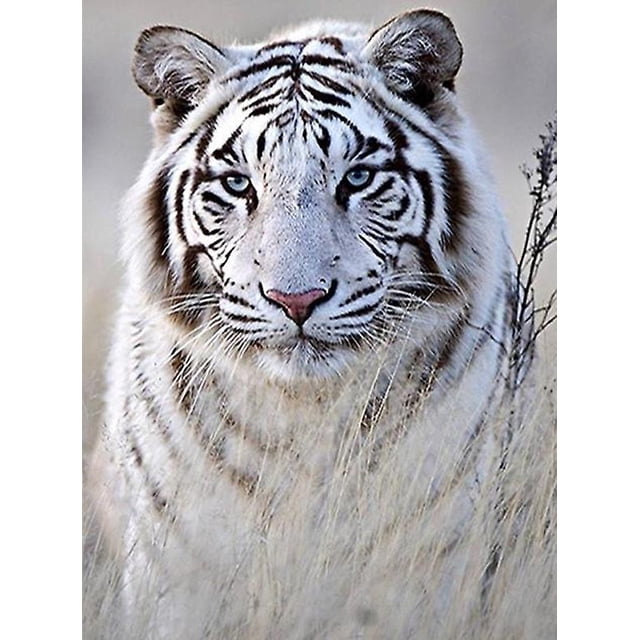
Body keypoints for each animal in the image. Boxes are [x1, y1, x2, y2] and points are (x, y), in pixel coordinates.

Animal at [87, 8, 522, 638]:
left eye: (358, 179)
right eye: (238, 184)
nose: (297, 299)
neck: (305, 417)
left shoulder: (431, 560)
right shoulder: (180, 570)